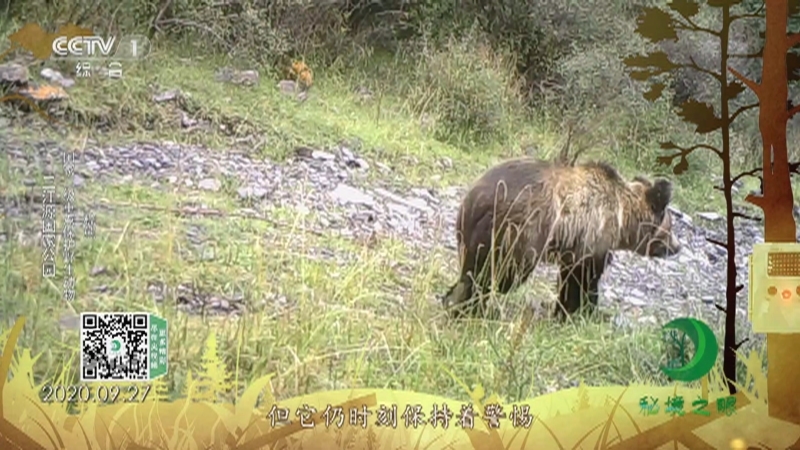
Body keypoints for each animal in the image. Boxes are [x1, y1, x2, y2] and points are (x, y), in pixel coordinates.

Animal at [442, 156, 682, 320]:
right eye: (670, 227)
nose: (677, 247)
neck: (623, 218)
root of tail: (477, 198)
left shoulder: (574, 246)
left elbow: (571, 278)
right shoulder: (593, 236)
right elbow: (583, 279)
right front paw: (581, 310)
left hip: (469, 231)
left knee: (472, 269)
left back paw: (456, 302)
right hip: (519, 231)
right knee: (499, 275)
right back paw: (477, 308)